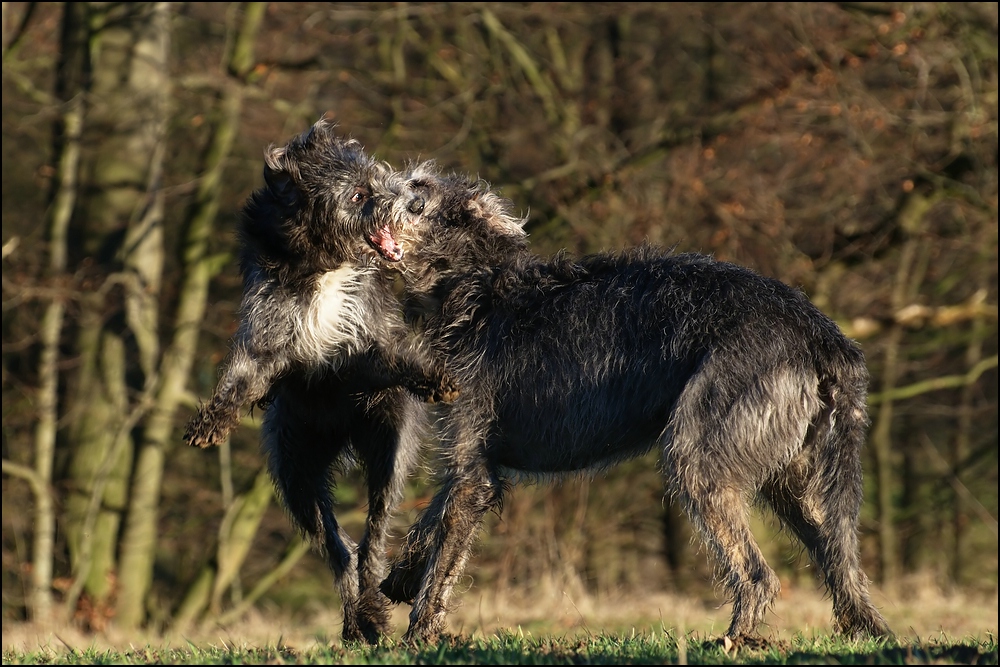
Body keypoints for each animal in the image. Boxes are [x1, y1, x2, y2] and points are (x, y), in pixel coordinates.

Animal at [186, 121, 456, 648]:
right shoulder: (266, 336)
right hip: (296, 472)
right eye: (358, 194)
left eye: (380, 175)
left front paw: (432, 376)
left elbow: (393, 355)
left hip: (388, 448)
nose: (414, 203)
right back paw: (360, 620)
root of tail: (339, 435)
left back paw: (371, 612)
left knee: (373, 535)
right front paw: (212, 420)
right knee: (340, 547)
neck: (323, 262)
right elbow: (241, 378)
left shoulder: (364, 344)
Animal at [380, 163, 892, 648]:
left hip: (702, 457)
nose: (374, 189)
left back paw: (733, 638)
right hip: (794, 478)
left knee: (758, 574)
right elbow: (431, 519)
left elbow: (446, 551)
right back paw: (865, 628)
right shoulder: (470, 456)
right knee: (837, 560)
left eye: (417, 192)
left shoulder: (474, 461)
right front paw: (400, 577)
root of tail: (821, 334)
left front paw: (418, 633)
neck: (478, 286)